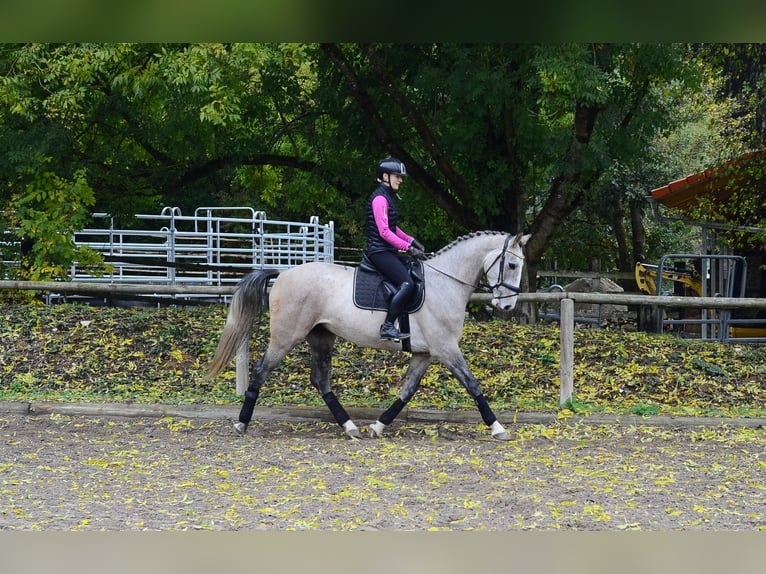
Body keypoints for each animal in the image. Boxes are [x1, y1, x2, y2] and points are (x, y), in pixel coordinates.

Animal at [207, 230, 531, 440]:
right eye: (512, 264)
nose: (507, 306)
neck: (444, 283)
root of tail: (283, 274)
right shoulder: (446, 348)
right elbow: (473, 385)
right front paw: (498, 427)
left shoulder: (425, 353)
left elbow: (407, 391)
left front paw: (378, 426)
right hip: (286, 337)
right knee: (261, 370)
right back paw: (242, 424)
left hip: (320, 337)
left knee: (320, 380)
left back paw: (350, 427)